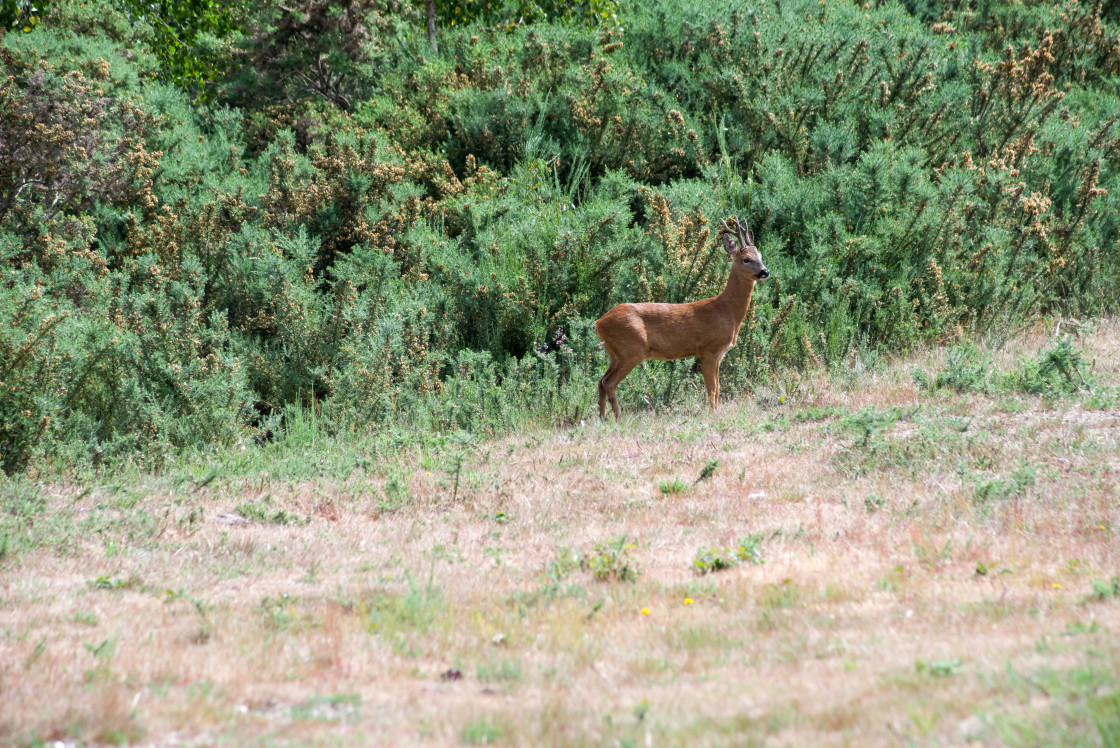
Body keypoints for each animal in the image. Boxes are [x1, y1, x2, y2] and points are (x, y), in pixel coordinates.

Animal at [595, 217, 770, 421]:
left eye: (760, 255)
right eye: (746, 259)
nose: (765, 271)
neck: (726, 310)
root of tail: (598, 323)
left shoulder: (719, 354)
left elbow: (718, 387)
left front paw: (716, 412)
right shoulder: (709, 349)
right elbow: (712, 388)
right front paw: (712, 414)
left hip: (615, 353)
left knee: (601, 381)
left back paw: (602, 417)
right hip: (631, 349)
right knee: (609, 383)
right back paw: (618, 418)